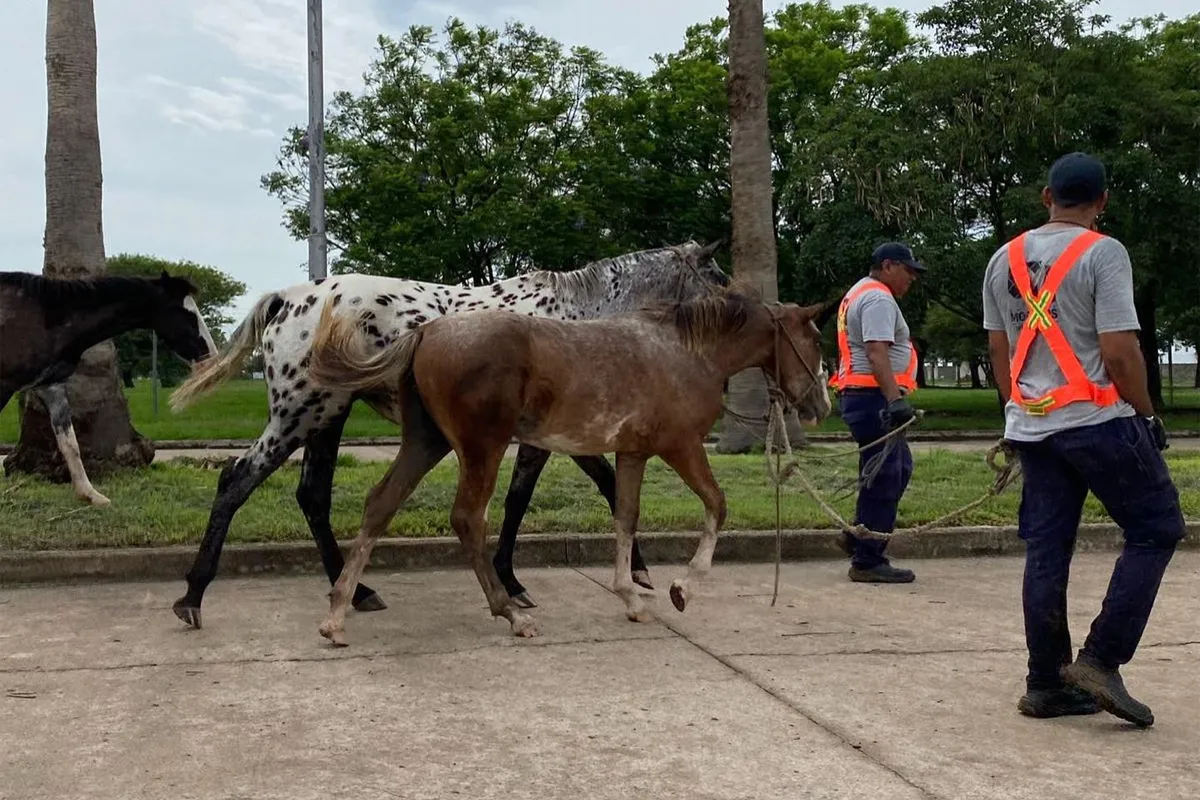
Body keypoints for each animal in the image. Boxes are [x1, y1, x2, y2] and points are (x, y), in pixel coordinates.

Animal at [0, 270, 218, 505]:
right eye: (188, 315)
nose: (212, 358)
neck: (45, 316)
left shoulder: (51, 387)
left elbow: (70, 444)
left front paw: (89, 494)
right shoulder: (4, 386)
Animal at [166, 241, 731, 629]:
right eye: (718, 277)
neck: (577, 317)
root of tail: (289, 298)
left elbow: (538, 496)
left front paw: (515, 580)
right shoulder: (549, 438)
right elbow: (582, 489)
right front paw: (628, 575)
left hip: (328, 417)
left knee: (312, 496)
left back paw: (358, 591)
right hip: (301, 415)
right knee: (237, 481)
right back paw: (193, 598)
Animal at [304, 282, 833, 645]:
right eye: (817, 341)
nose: (820, 405)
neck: (686, 352)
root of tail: (426, 331)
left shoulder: (633, 453)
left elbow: (626, 517)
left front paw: (631, 597)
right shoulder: (682, 446)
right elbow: (717, 507)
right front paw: (682, 587)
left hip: (426, 443)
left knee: (380, 504)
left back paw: (337, 614)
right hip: (481, 448)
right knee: (467, 519)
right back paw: (511, 612)